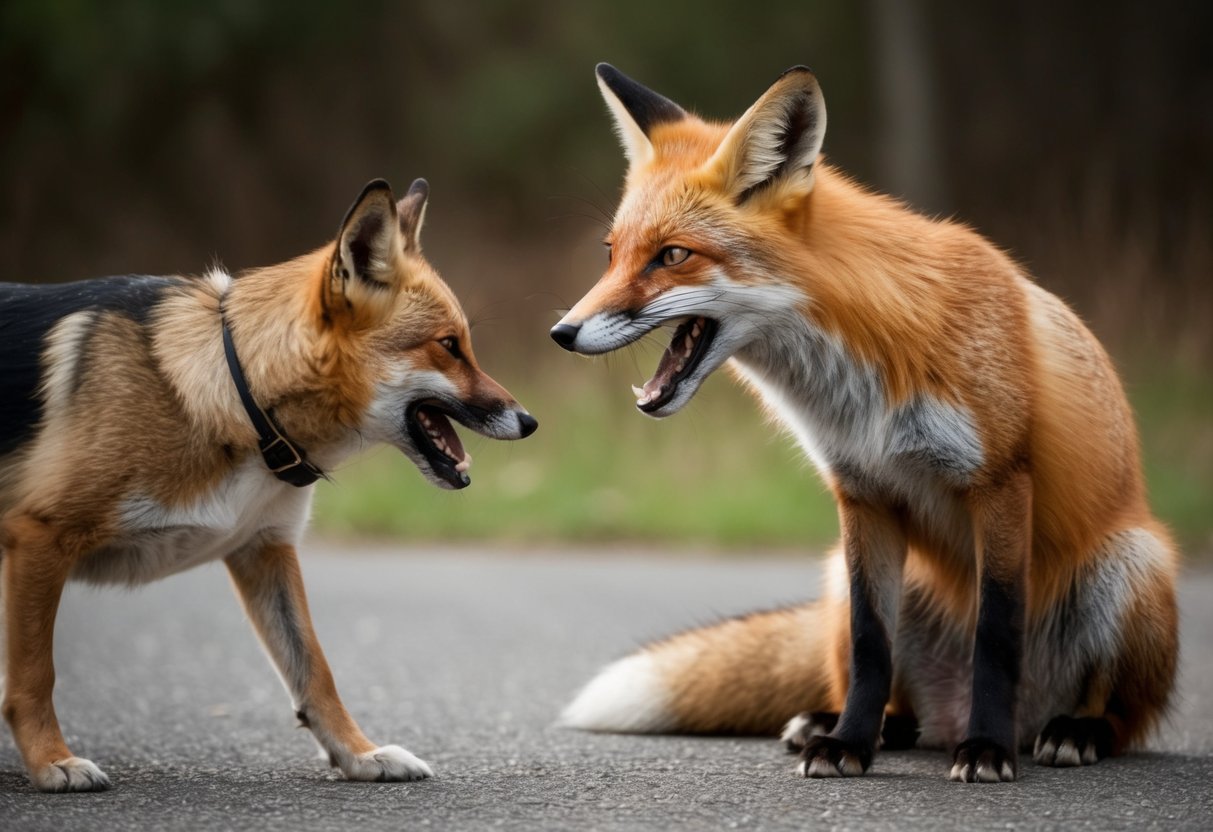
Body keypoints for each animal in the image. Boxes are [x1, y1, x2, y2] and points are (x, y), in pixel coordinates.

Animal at [0, 178, 537, 792]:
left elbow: (316, 673)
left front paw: (360, 755)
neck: (238, 397)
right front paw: (51, 761)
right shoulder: (38, 536)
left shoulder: (265, 548)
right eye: (449, 346)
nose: (529, 422)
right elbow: (35, 676)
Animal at [551, 64, 1179, 783]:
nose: (561, 332)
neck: (856, 388)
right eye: (612, 253)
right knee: (890, 697)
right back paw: (857, 725)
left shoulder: (999, 481)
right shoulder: (861, 493)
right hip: (841, 579)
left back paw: (1068, 731)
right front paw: (849, 743)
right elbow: (869, 641)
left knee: (1121, 715)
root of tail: (950, 715)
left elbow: (996, 634)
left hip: (1131, 565)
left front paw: (986, 750)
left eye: (672, 255)